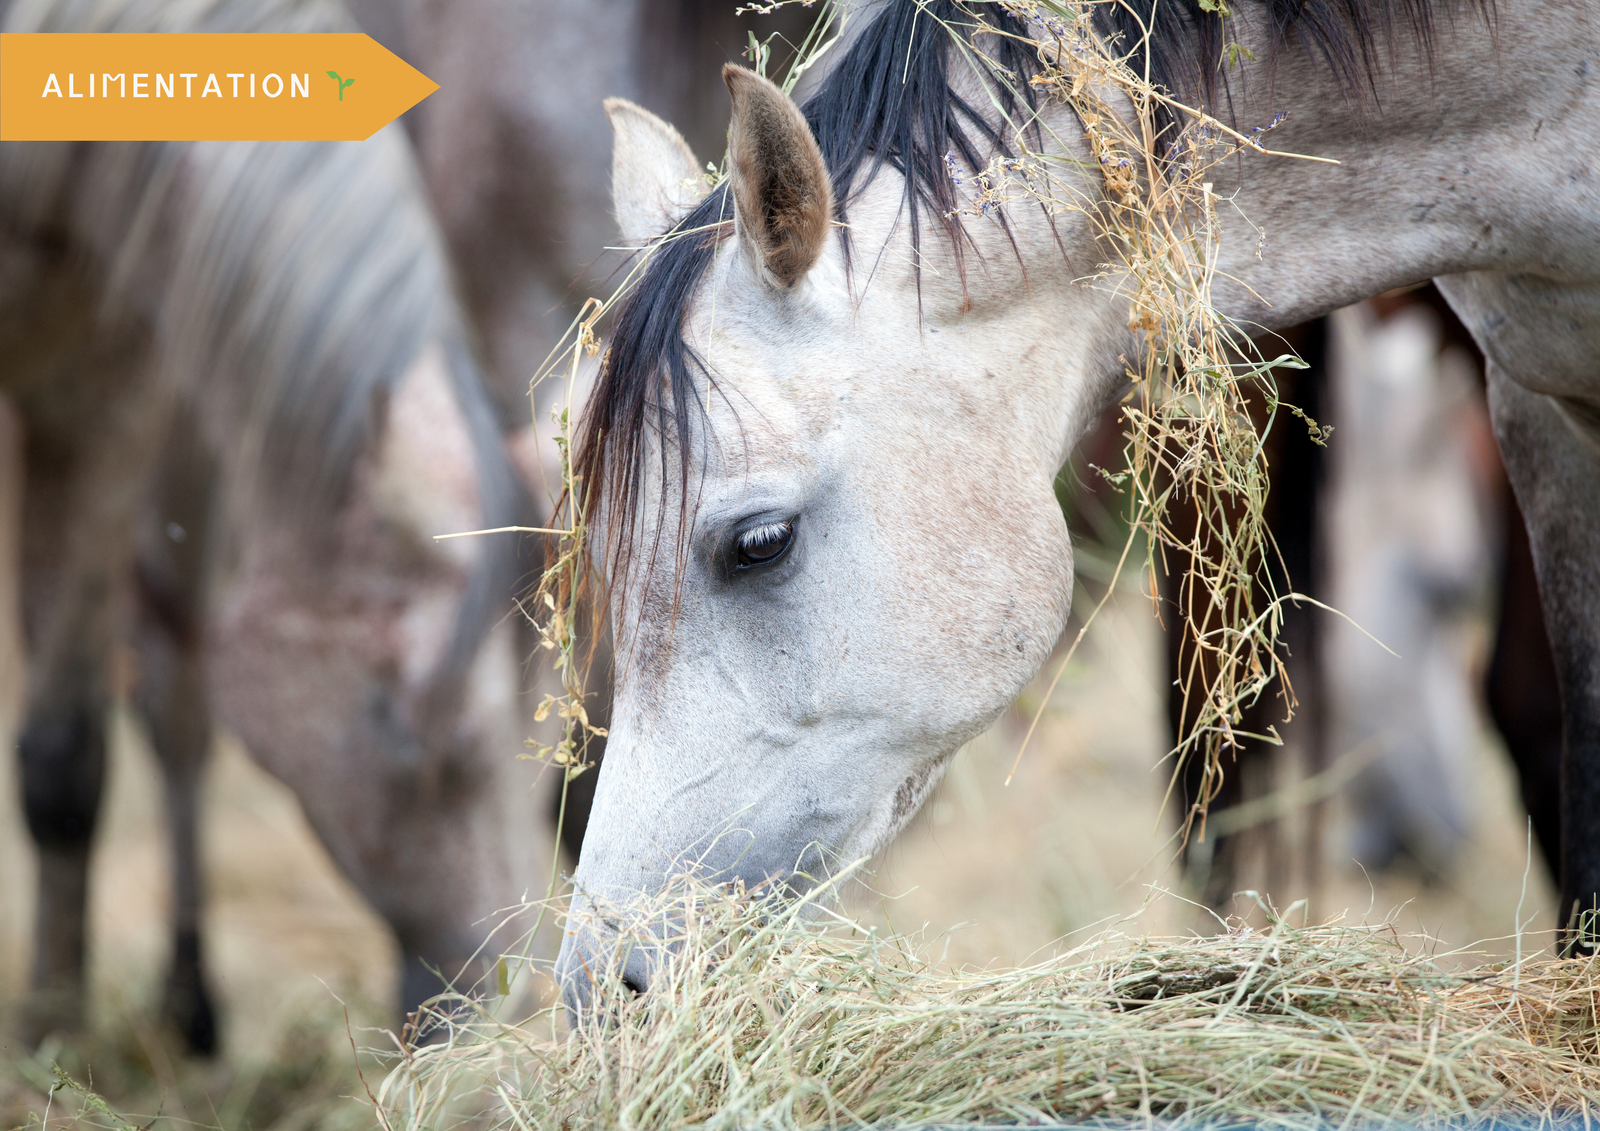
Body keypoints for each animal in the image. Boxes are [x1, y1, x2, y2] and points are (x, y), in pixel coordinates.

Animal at [1, 0, 548, 1051]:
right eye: (416, 733)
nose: (512, 997)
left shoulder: (96, 390)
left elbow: (64, 762)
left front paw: (55, 1033)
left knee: (172, 700)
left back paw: (190, 1007)